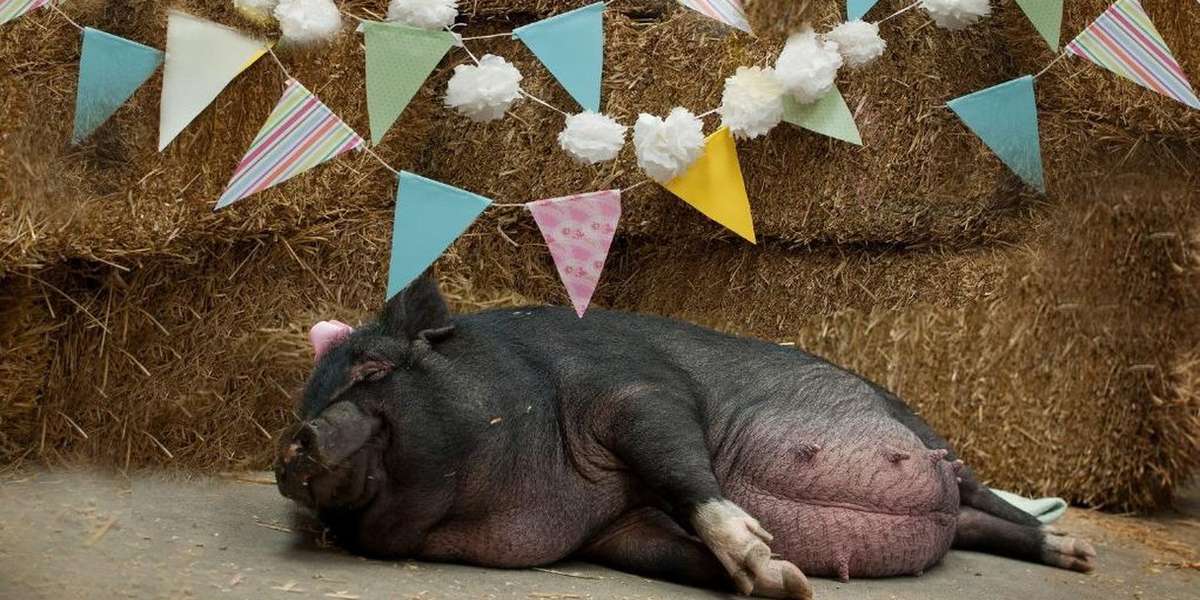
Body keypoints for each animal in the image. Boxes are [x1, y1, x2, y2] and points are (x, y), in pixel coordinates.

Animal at [276, 272, 1096, 599]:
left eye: (371, 370)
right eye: (314, 393)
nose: (295, 439)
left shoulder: (638, 391)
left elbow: (686, 474)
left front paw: (770, 563)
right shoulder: (613, 533)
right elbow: (676, 555)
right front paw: (784, 581)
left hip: (938, 447)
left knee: (999, 505)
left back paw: (1079, 554)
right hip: (954, 514)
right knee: (983, 528)